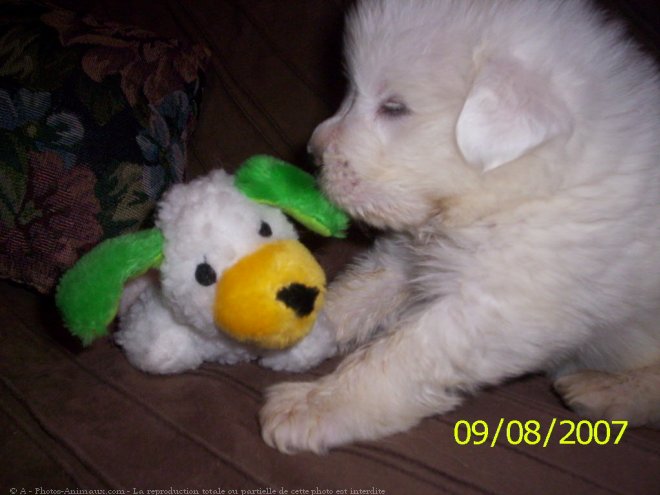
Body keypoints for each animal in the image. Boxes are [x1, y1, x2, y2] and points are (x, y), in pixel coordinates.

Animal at [260, 0, 660, 454]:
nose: (312, 153)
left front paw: (310, 406)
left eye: (394, 108)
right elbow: (353, 295)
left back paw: (602, 391)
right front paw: (294, 332)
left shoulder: (493, 308)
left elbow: (394, 358)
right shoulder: (409, 256)